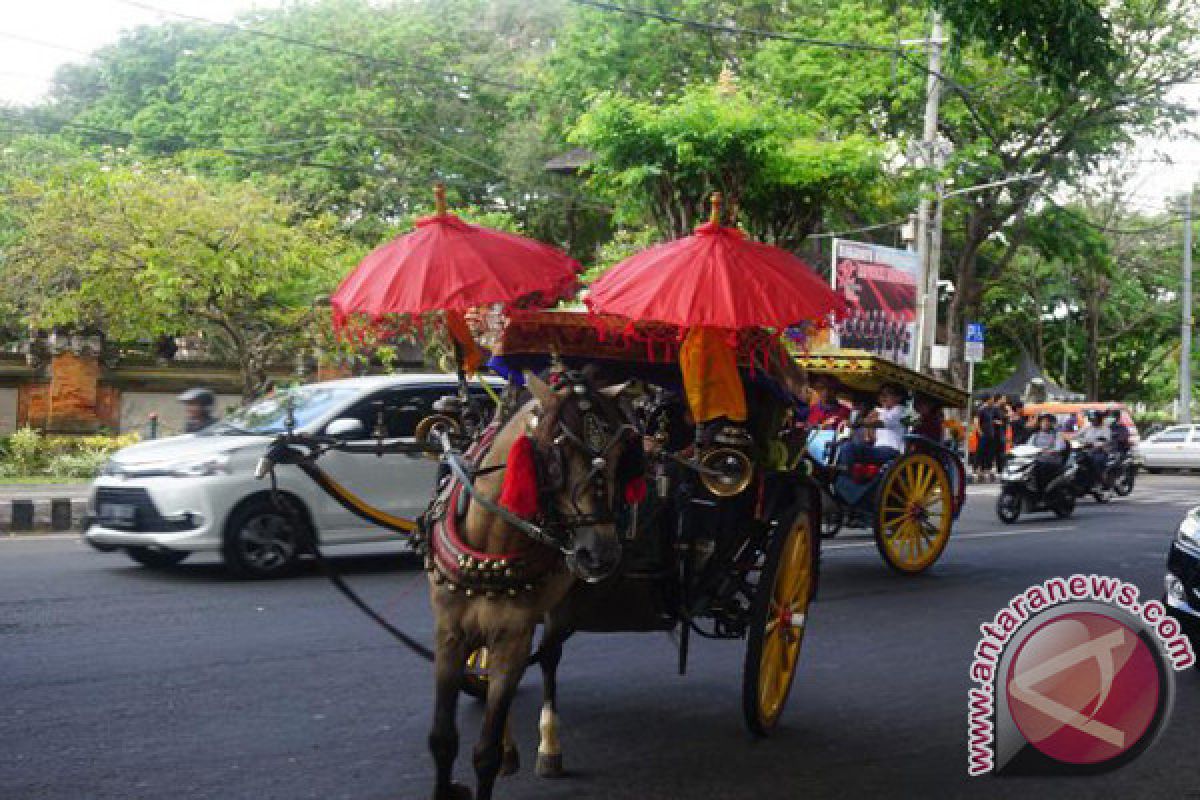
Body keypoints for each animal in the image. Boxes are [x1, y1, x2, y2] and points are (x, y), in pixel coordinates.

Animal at [427, 371, 643, 800]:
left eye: (618, 459)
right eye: (556, 458)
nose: (601, 554)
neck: (489, 547)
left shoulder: (513, 635)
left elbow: (485, 752)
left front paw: (501, 752)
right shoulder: (449, 633)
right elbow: (443, 739)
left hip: (560, 610)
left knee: (548, 659)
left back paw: (549, 747)